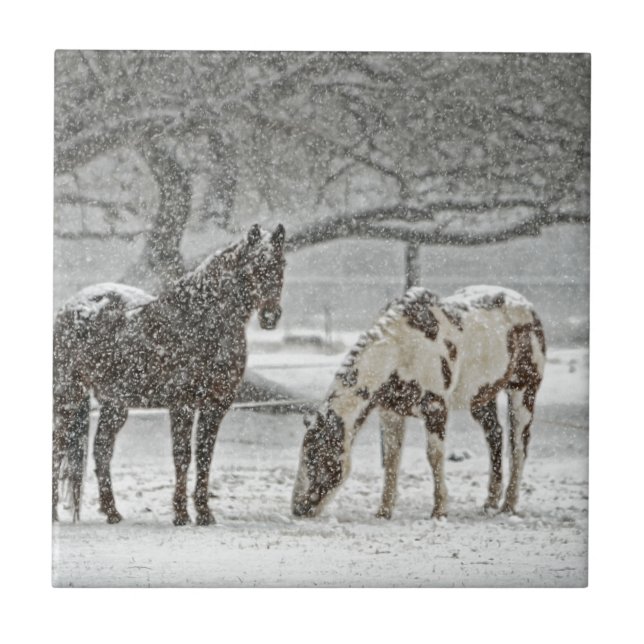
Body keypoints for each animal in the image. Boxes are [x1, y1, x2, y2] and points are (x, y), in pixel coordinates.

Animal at [53, 224, 286, 526]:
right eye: (253, 266)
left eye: (281, 264)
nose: (270, 316)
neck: (202, 321)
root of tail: (70, 307)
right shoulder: (182, 404)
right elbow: (182, 456)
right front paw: (181, 514)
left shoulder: (215, 406)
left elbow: (204, 456)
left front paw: (204, 513)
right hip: (69, 397)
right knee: (58, 446)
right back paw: (54, 513)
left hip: (114, 405)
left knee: (101, 449)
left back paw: (112, 512)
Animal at [292, 285, 546, 520]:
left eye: (317, 457)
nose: (298, 508)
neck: (400, 350)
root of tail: (528, 307)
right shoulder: (391, 412)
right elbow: (392, 459)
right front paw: (384, 511)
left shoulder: (435, 409)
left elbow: (434, 456)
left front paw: (440, 510)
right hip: (481, 398)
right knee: (495, 437)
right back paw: (490, 502)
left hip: (523, 391)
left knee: (518, 446)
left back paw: (508, 506)